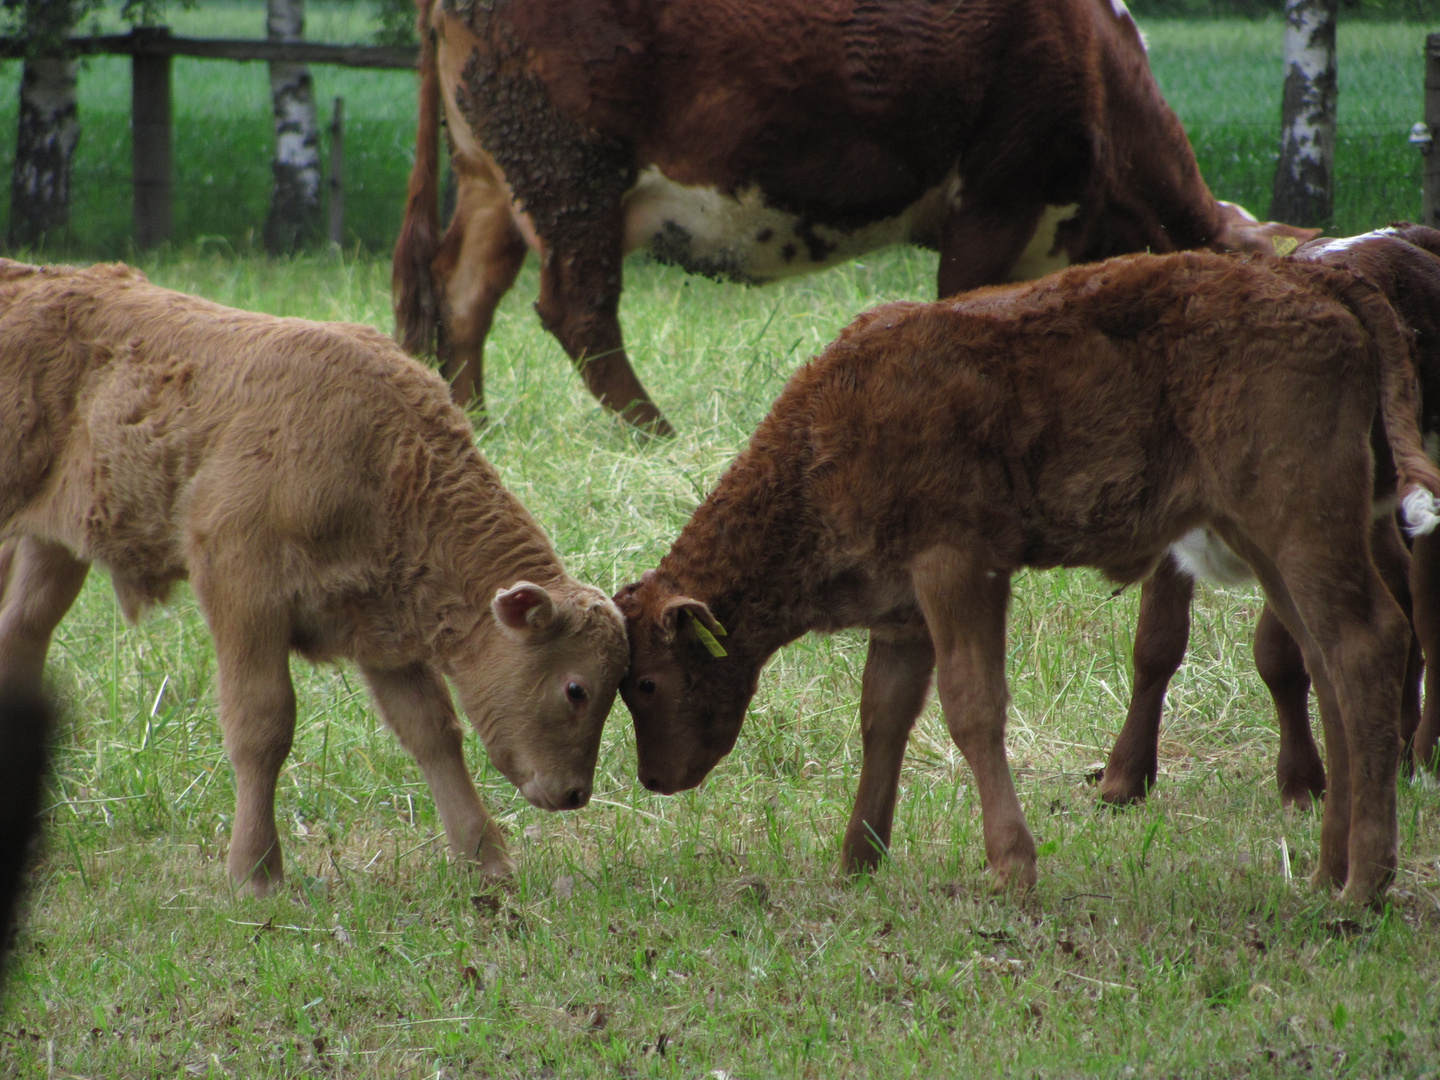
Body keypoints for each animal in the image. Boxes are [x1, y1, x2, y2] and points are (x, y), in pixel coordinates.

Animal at [0, 260, 630, 898]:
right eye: (576, 689)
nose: (574, 792)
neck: (387, 460)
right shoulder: (241, 588)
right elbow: (262, 725)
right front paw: (256, 872)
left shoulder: (382, 623)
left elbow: (432, 730)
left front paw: (487, 862)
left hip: (53, 546)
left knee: (21, 630)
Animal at [394, 0, 1319, 434]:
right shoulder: (995, 196)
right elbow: (963, 311)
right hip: (571, 170)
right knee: (577, 311)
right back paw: (657, 435)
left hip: (495, 177)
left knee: (462, 290)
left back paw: (472, 420)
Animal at [1105, 224, 1440, 806]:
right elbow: (1156, 643)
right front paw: (1124, 778)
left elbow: (1280, 653)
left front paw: (1302, 782)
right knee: (1399, 590)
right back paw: (1398, 746)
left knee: (1426, 608)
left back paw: (1423, 753)